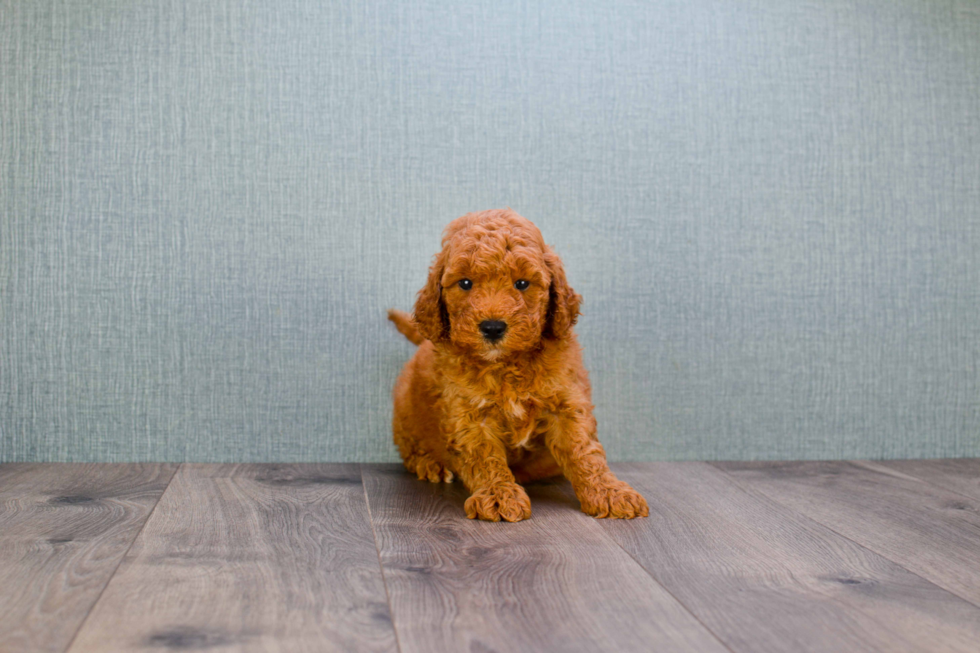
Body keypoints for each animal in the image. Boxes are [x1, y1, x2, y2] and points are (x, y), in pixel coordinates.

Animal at [386, 206, 648, 524]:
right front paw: (499, 495)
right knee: (409, 448)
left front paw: (609, 492)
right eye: (465, 283)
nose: (493, 327)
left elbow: (584, 451)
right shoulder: (468, 415)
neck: (507, 364)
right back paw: (430, 464)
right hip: (404, 414)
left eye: (522, 283)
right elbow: (484, 457)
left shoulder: (567, 403)